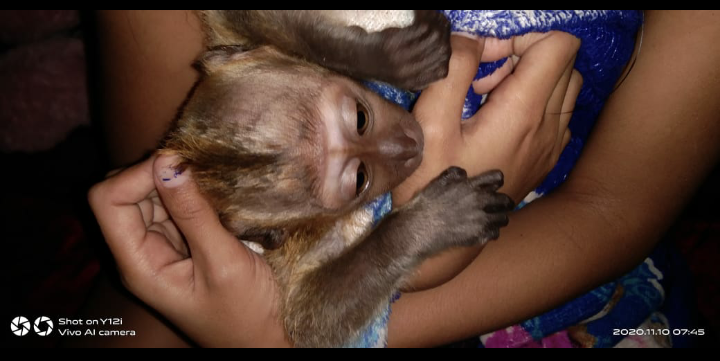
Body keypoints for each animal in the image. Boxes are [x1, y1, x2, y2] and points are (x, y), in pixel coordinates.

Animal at [162, 10, 512, 346]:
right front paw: (434, 221)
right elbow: (313, 322)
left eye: (360, 118)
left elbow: (236, 15)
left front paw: (381, 59)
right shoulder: (300, 241)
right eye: (359, 179)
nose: (407, 146)